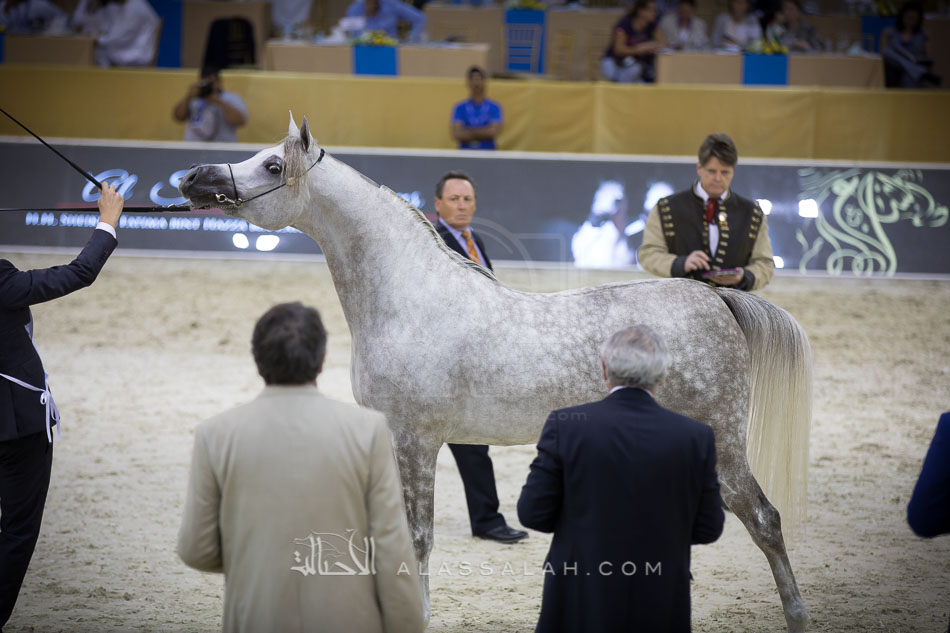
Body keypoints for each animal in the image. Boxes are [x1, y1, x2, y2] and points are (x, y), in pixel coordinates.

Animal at [179, 115, 813, 632]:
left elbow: (417, 538)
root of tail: (713, 297)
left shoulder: (415, 439)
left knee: (765, 518)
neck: (410, 297)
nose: (193, 178)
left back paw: (797, 615)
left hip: (724, 443)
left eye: (273, 164)